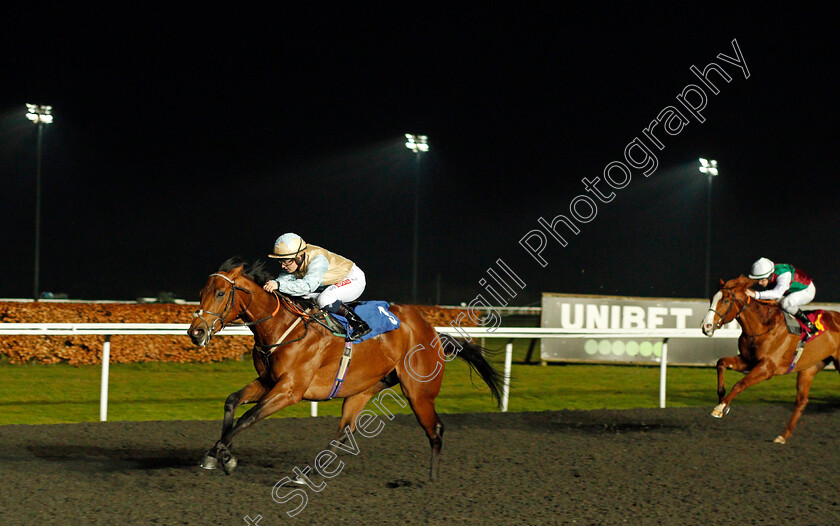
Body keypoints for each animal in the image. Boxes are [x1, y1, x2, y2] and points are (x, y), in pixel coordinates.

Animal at [187, 260, 502, 482]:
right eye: (200, 293)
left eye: (220, 293)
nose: (195, 332)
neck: (281, 328)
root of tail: (432, 330)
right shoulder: (268, 381)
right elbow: (232, 402)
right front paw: (218, 455)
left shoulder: (290, 391)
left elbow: (248, 417)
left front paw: (221, 455)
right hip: (363, 389)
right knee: (344, 431)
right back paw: (309, 474)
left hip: (419, 392)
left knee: (434, 428)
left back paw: (433, 479)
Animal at [704, 276, 840, 446]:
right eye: (711, 299)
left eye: (726, 300)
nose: (706, 326)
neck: (762, 326)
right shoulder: (747, 361)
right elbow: (721, 363)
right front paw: (723, 402)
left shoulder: (766, 368)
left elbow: (740, 384)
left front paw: (720, 408)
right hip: (810, 368)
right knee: (802, 401)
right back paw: (783, 436)